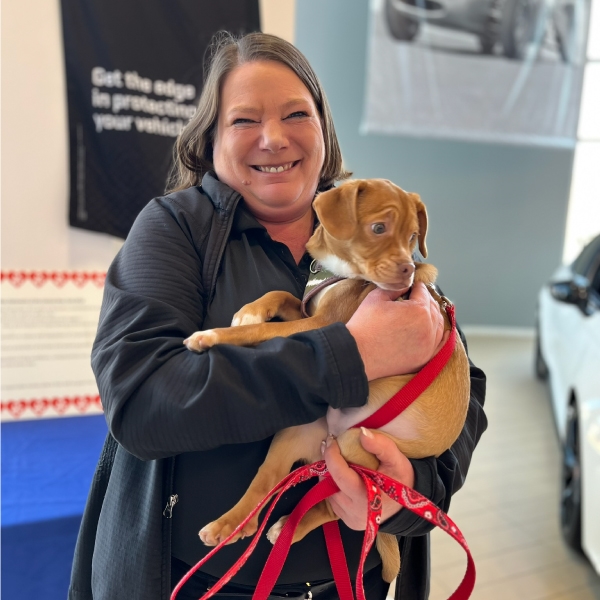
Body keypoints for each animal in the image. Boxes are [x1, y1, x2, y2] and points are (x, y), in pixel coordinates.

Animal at [185, 180, 472, 584]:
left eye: (413, 237)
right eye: (379, 228)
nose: (406, 271)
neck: (341, 272)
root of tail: (330, 440)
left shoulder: (322, 324)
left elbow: (263, 333)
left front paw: (213, 336)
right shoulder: (310, 312)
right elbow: (281, 295)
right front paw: (250, 311)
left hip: (356, 450)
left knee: (332, 506)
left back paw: (286, 527)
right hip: (291, 436)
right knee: (266, 482)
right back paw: (232, 525)